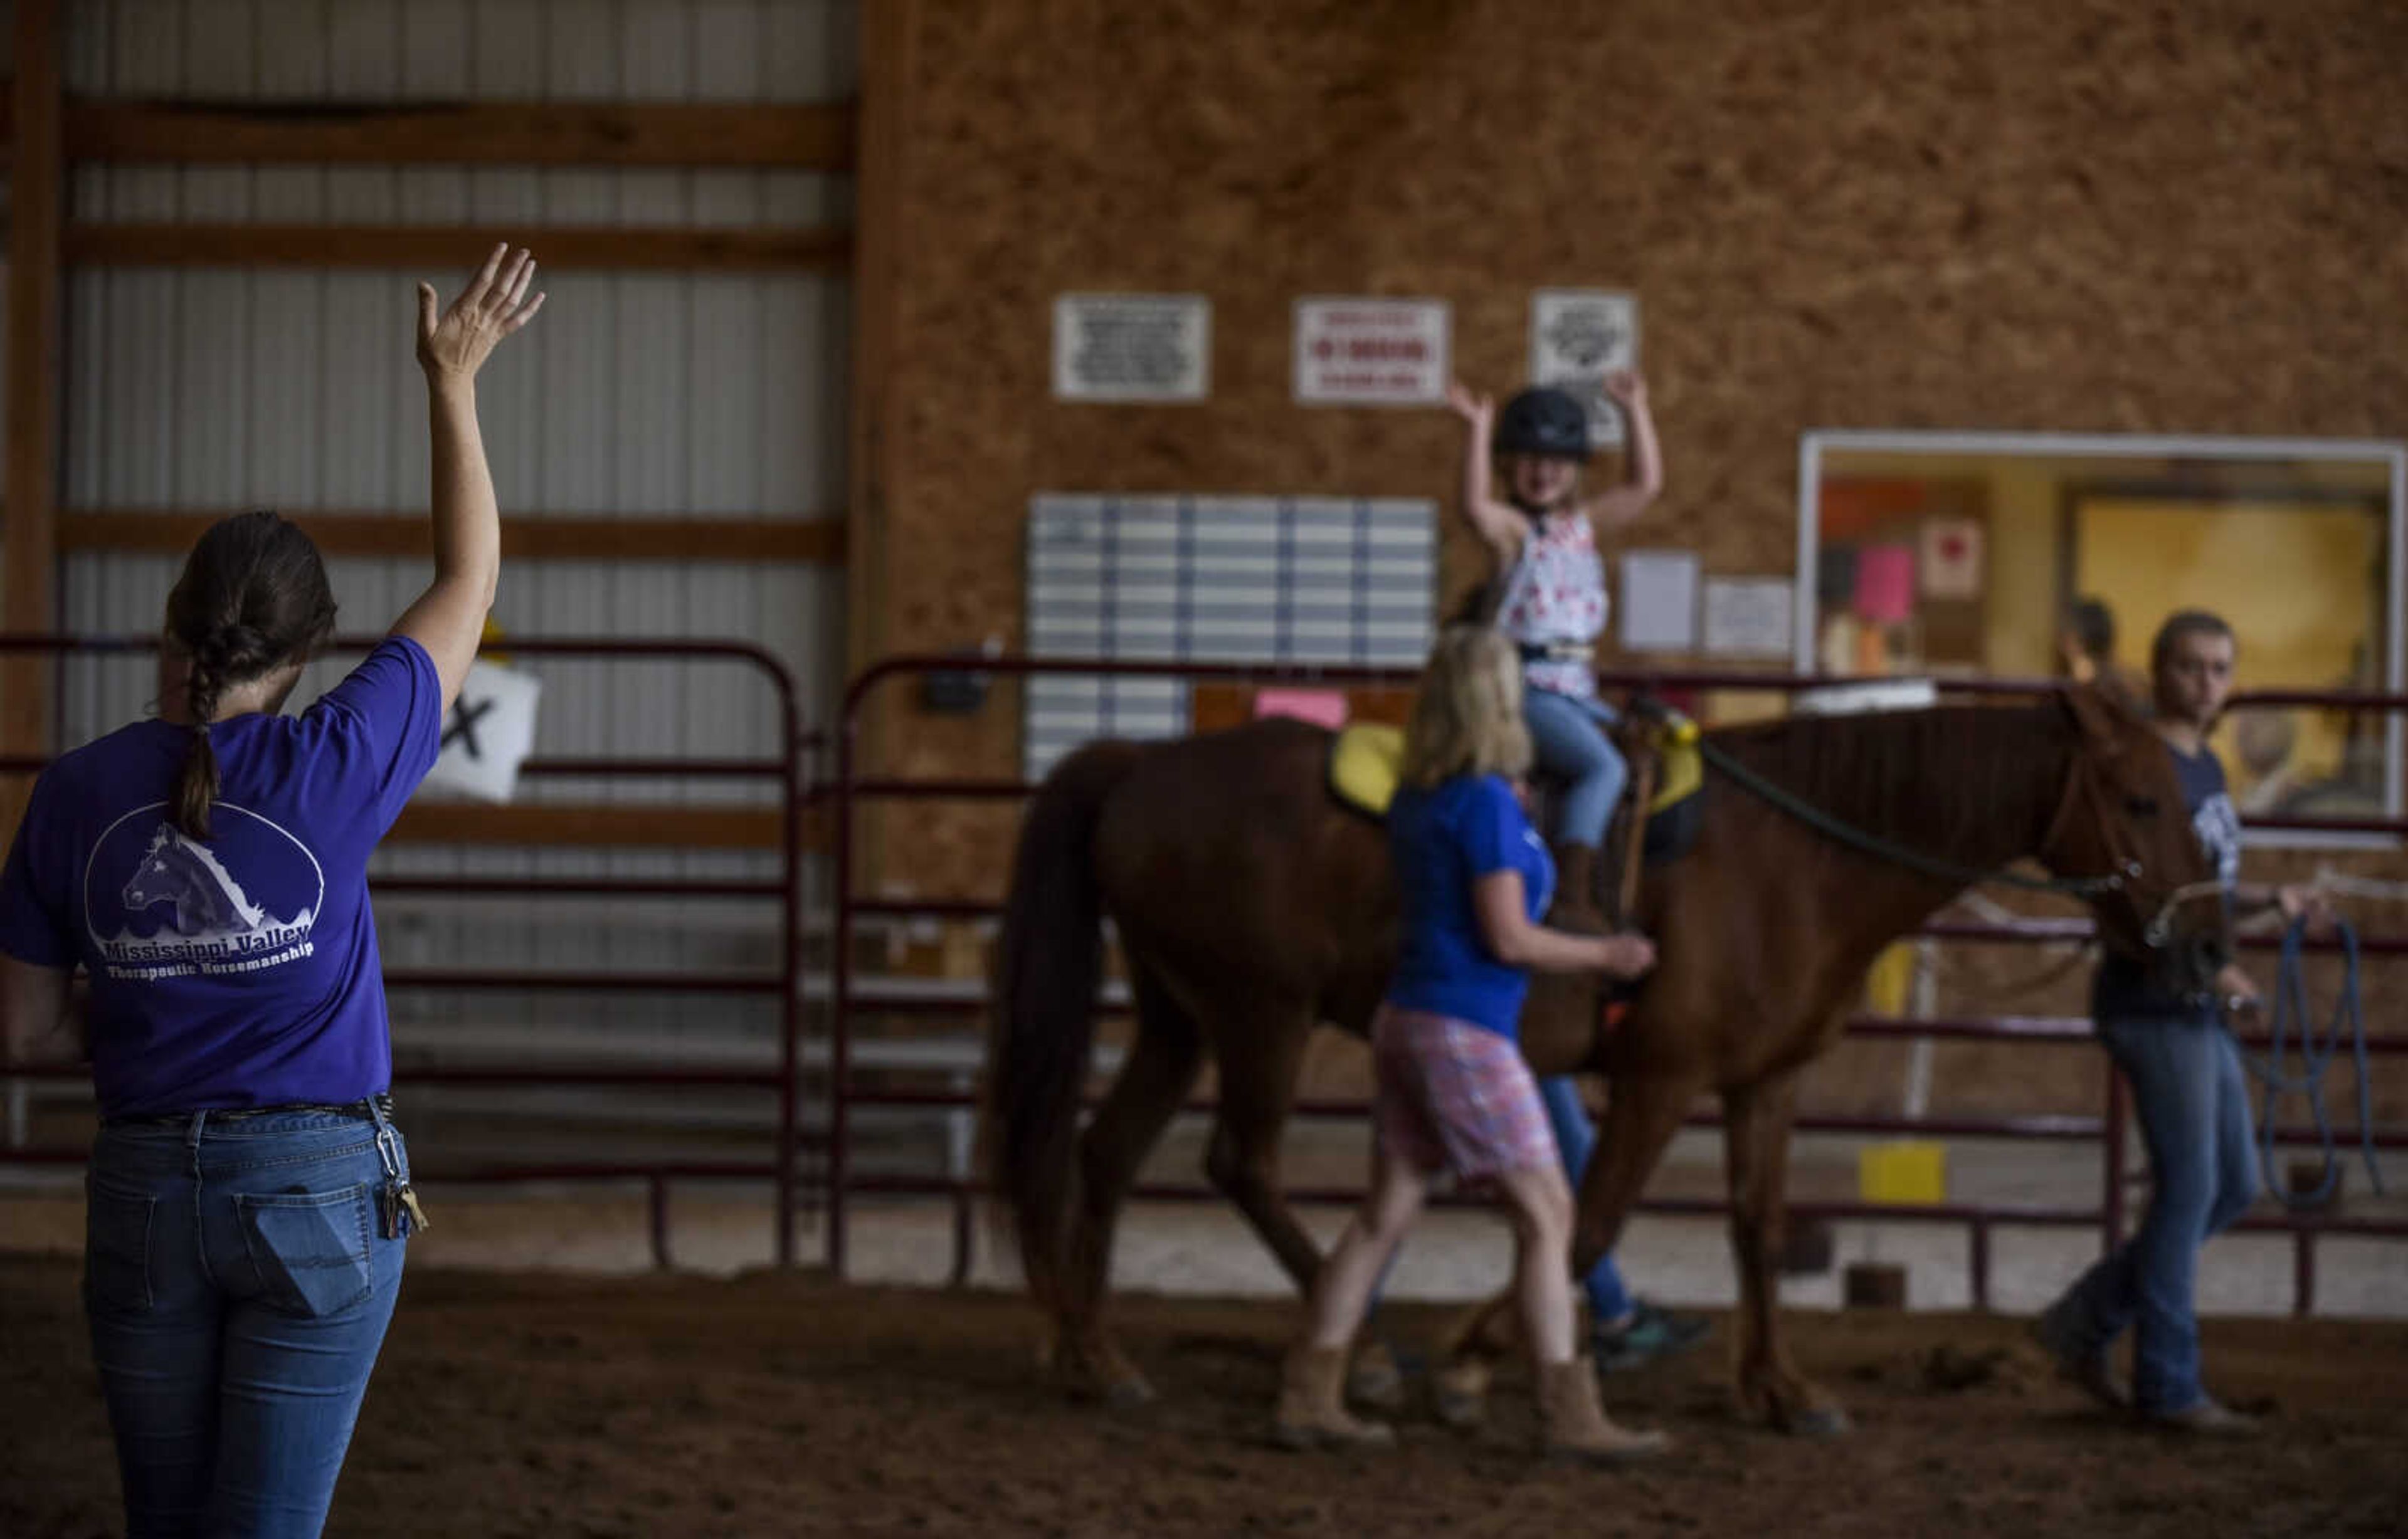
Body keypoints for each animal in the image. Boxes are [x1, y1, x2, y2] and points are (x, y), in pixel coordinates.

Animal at [978, 684, 2215, 1435]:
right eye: (2142, 799)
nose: (2202, 939)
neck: (1797, 857)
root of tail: (1142, 765)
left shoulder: (1766, 1081)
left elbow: (1759, 1228)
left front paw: (1782, 1389)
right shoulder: (1663, 1079)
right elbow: (1596, 1221)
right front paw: (1474, 1361)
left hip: (1177, 1017)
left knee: (1103, 1158)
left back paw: (1098, 1359)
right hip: (1259, 1015)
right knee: (1240, 1164)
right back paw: (1360, 1352)